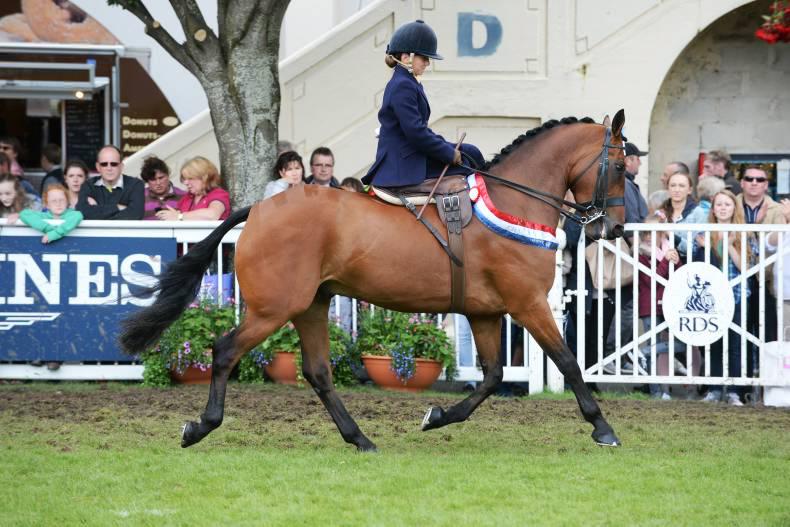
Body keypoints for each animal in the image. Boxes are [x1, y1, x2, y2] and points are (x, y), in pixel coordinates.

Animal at [121, 110, 628, 451]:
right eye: (622, 167)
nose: (615, 229)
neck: (510, 202)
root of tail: (261, 208)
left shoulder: (485, 312)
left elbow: (491, 377)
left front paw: (436, 416)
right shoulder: (527, 304)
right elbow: (568, 361)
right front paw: (602, 428)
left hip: (311, 305)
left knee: (318, 371)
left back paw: (359, 438)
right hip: (274, 308)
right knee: (226, 351)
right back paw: (200, 426)